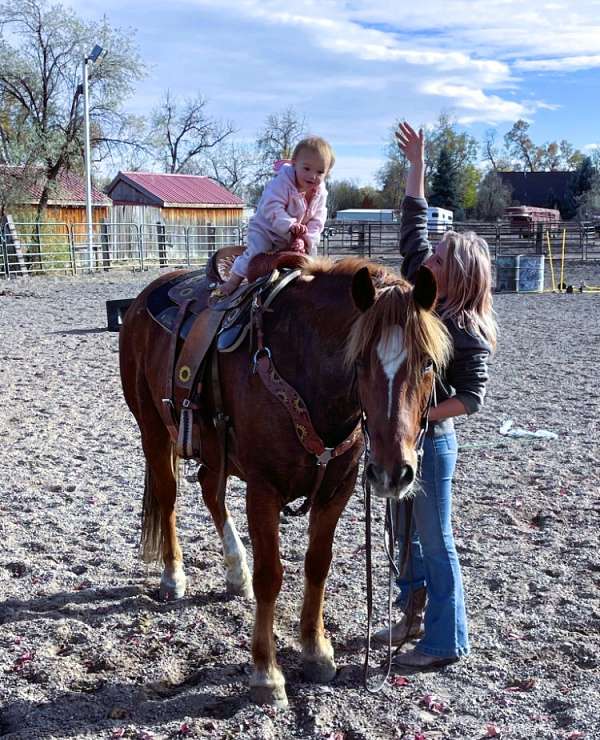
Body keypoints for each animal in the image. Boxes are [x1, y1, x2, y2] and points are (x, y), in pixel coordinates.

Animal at [119, 258, 450, 708]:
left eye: (427, 363)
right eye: (360, 361)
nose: (392, 472)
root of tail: (145, 297)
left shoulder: (337, 490)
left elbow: (317, 564)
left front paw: (316, 650)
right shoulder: (263, 490)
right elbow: (270, 576)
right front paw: (266, 673)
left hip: (215, 450)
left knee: (209, 489)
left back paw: (235, 571)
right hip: (152, 428)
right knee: (169, 497)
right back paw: (174, 577)